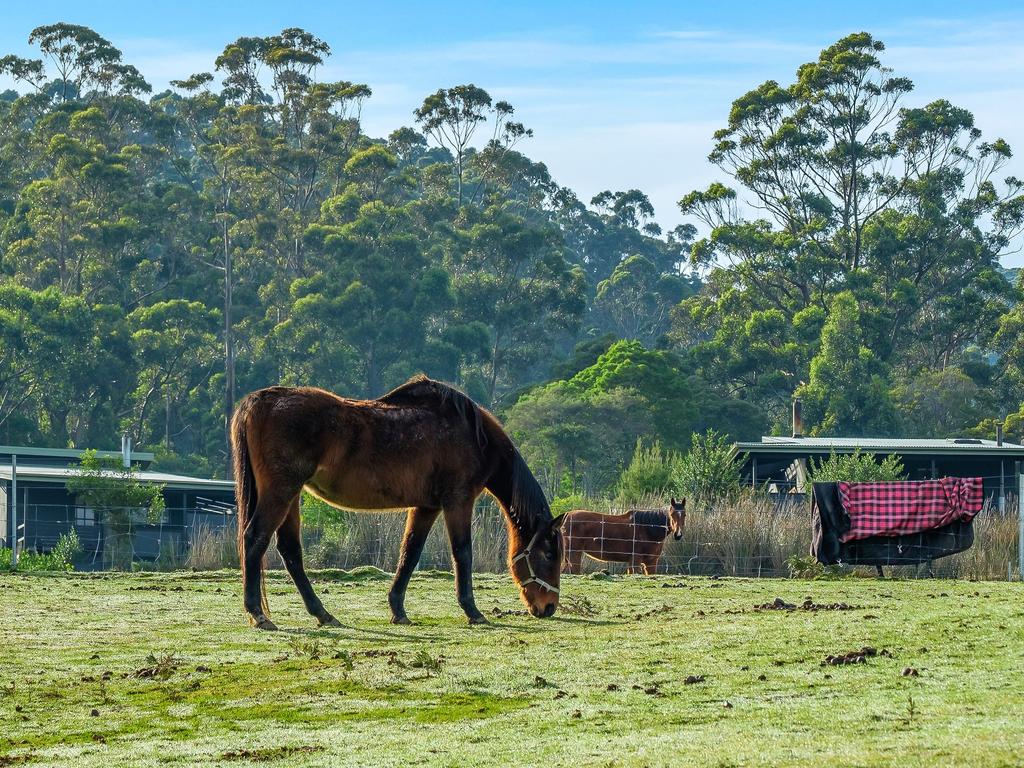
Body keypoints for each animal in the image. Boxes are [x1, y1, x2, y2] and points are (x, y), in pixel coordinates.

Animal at [231, 374, 565, 630]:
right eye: (550, 554)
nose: (549, 606)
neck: (473, 435)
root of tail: (259, 401)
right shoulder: (458, 501)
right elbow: (462, 553)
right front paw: (473, 611)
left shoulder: (427, 506)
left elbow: (410, 553)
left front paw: (398, 609)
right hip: (281, 492)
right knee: (256, 538)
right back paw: (258, 614)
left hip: (291, 495)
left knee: (290, 551)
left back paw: (323, 614)